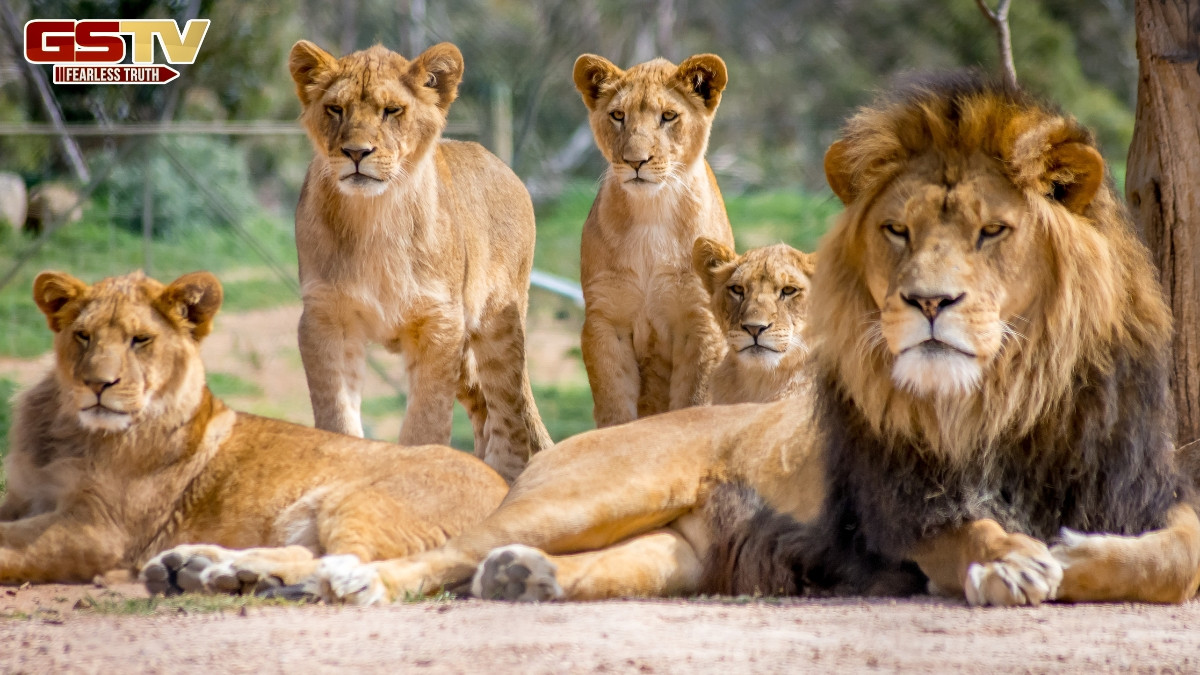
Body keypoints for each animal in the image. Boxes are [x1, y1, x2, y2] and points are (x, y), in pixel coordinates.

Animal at [0, 270, 507, 590]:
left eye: (139, 340)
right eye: (83, 336)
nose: (98, 384)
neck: (69, 430)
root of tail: (505, 487)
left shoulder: (99, 529)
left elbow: (10, 545)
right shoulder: (23, 498)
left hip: (359, 501)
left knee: (346, 561)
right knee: (311, 554)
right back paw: (202, 568)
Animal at [289, 40, 550, 482]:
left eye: (392, 110)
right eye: (335, 109)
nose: (356, 153)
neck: (373, 216)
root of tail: (504, 167)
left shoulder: (439, 322)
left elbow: (425, 423)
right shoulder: (325, 317)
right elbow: (337, 415)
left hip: (497, 323)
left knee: (509, 413)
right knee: (484, 408)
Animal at [574, 53, 735, 427]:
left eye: (668, 116)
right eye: (618, 115)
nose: (636, 162)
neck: (652, 211)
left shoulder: (701, 322)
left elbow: (694, 402)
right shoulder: (606, 320)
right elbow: (615, 406)